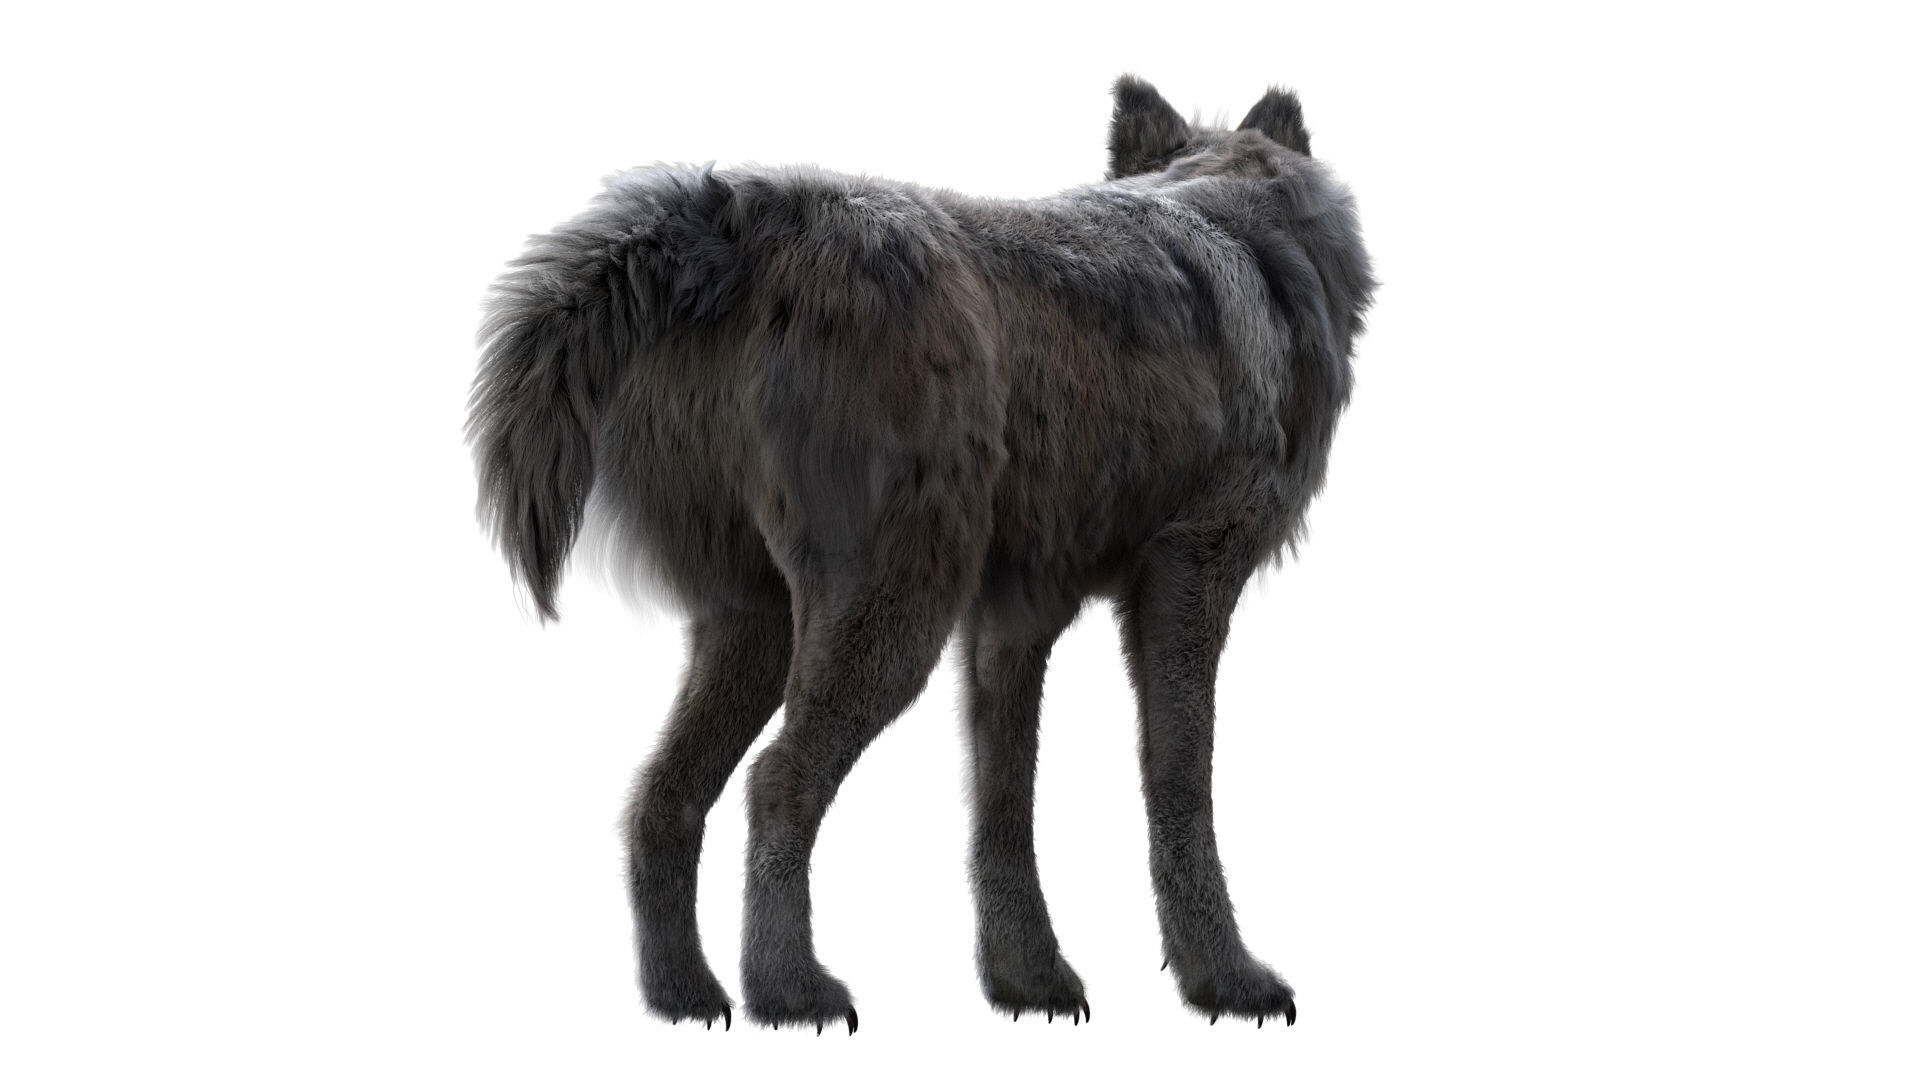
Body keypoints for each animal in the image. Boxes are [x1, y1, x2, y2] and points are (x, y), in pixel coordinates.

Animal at [467, 75, 1374, 1033]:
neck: (1231, 208)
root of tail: (751, 217)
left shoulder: (1014, 619)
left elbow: (1004, 802)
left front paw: (1026, 978)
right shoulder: (1188, 579)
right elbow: (1180, 786)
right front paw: (1225, 980)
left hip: (760, 631)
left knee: (663, 797)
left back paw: (686, 994)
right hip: (891, 622)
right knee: (774, 781)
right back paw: (790, 989)